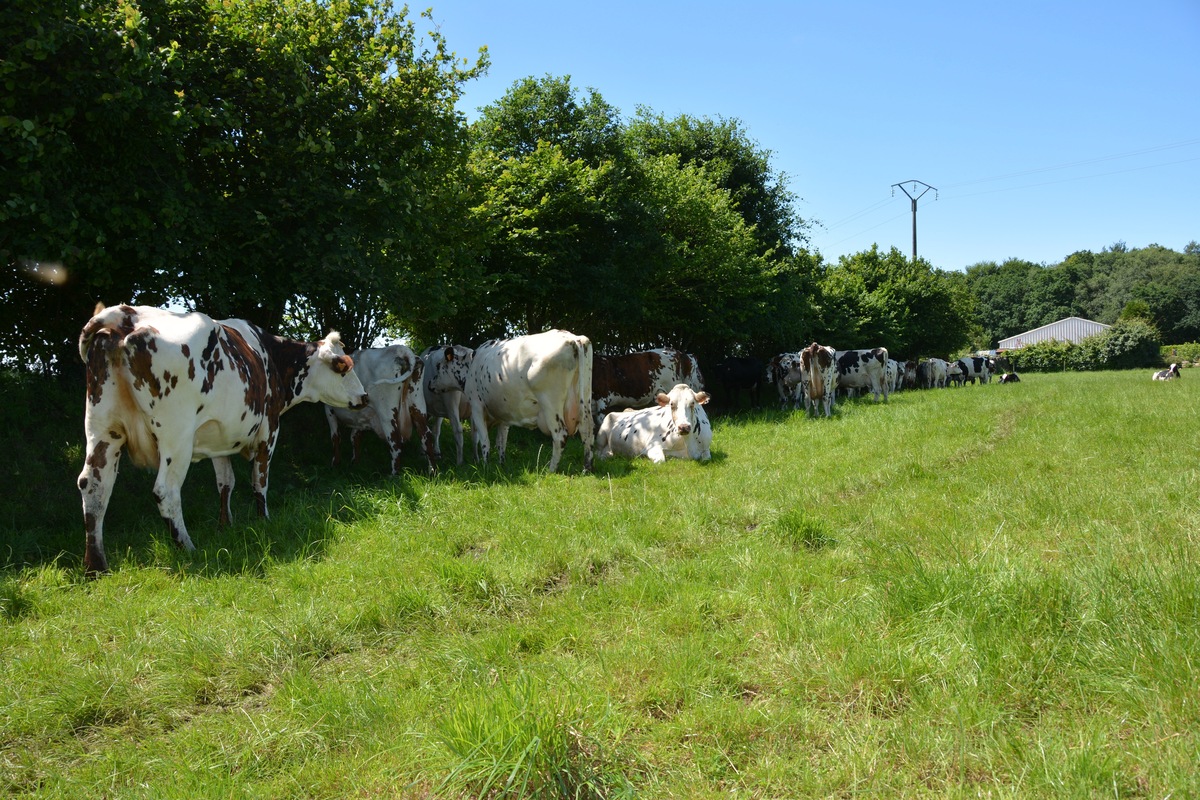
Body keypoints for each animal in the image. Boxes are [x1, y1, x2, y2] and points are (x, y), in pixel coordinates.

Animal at [77, 304, 369, 575]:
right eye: (343, 368)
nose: (364, 397)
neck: (272, 358)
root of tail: (127, 315)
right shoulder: (269, 429)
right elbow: (259, 480)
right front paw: (263, 520)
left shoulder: (220, 438)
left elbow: (226, 482)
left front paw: (225, 525)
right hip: (176, 437)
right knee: (165, 491)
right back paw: (188, 548)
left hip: (102, 428)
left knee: (93, 486)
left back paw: (96, 566)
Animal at [325, 344, 436, 475]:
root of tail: (400, 349)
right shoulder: (360, 415)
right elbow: (355, 437)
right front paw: (355, 463)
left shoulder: (329, 409)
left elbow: (336, 437)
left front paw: (335, 464)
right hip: (418, 405)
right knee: (426, 436)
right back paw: (433, 471)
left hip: (387, 413)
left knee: (396, 442)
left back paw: (393, 475)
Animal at [465, 329, 594, 473]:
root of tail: (574, 338)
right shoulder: (504, 414)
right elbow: (501, 442)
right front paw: (501, 465)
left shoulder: (476, 405)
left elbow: (485, 441)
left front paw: (486, 467)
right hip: (584, 398)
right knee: (587, 429)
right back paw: (586, 469)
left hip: (550, 404)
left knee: (560, 435)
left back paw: (550, 470)